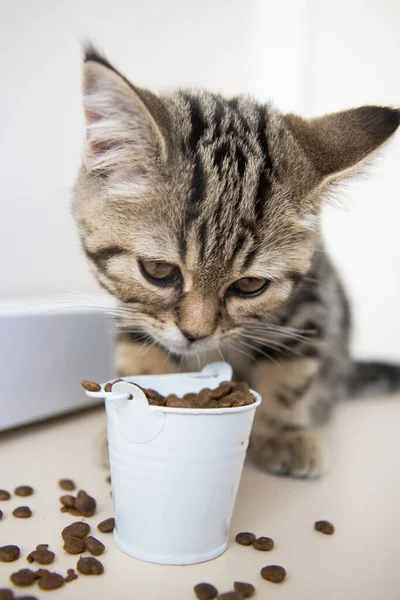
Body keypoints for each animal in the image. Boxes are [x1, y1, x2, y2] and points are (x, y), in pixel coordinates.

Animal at [72, 47, 400, 478]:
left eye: (249, 286)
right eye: (158, 271)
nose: (195, 335)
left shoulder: (311, 304)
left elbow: (289, 369)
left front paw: (284, 433)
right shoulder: (135, 313)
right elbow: (144, 355)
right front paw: (134, 411)